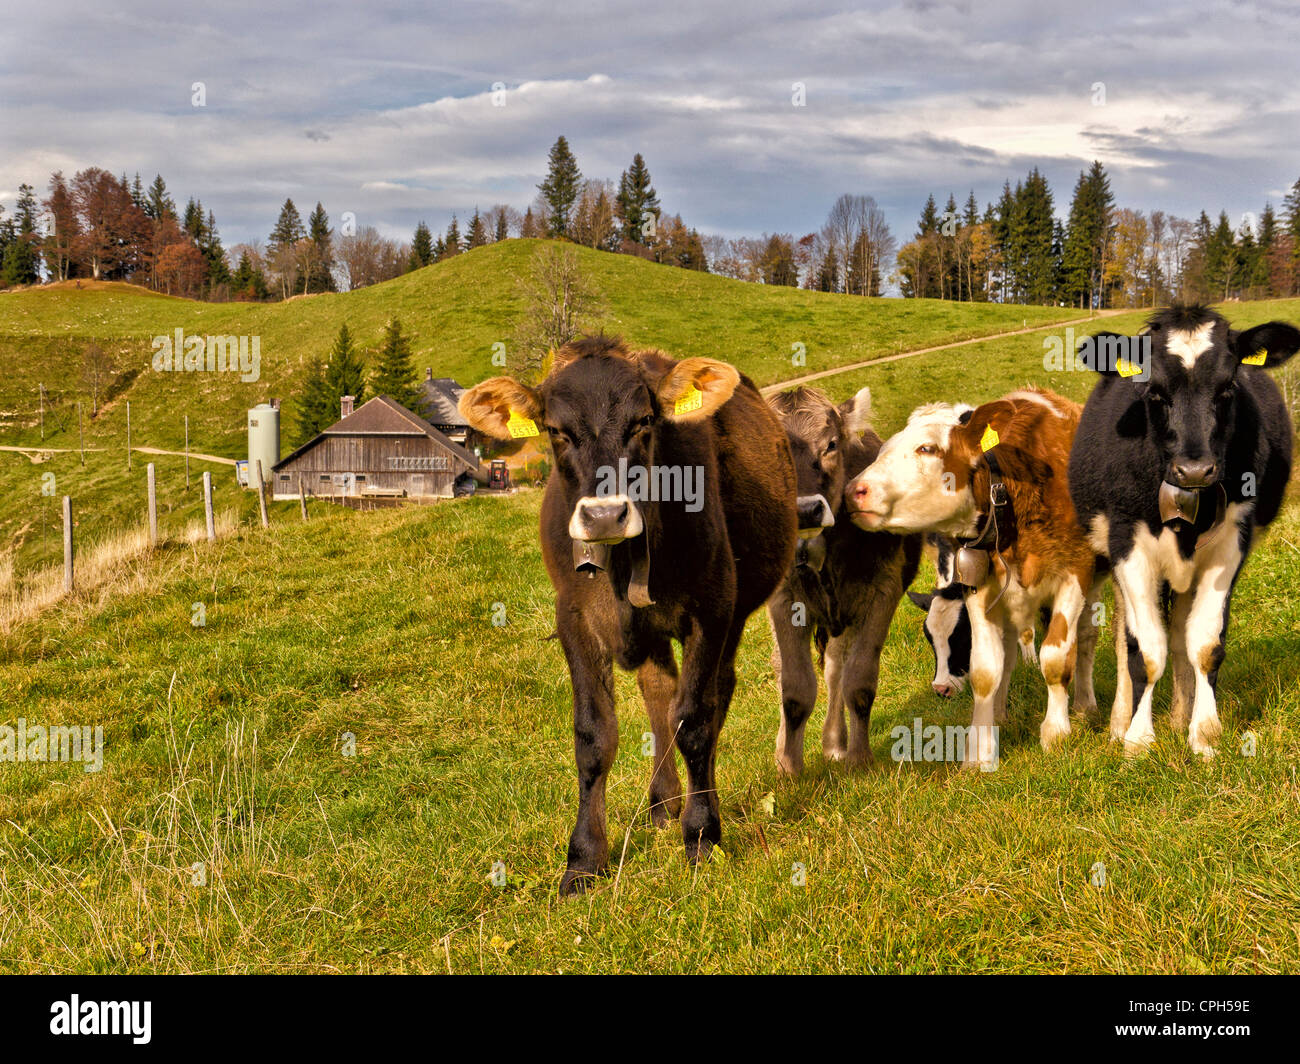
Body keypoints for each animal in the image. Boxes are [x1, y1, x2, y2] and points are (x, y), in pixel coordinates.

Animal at [462, 332, 795, 889]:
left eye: (643, 422)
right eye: (556, 429)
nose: (603, 515)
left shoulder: (713, 608)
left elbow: (696, 721)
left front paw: (701, 835)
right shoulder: (573, 618)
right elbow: (595, 735)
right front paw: (584, 858)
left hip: (734, 613)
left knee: (712, 696)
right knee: (659, 692)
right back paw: (662, 803)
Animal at [764, 385, 920, 764]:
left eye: (831, 444)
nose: (805, 510)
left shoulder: (883, 591)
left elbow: (858, 682)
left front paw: (859, 759)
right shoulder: (783, 600)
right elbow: (794, 688)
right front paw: (788, 766)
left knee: (836, 669)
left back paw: (835, 744)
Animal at [842, 385, 1097, 764]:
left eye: (927, 448)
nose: (852, 491)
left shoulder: (1074, 574)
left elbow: (1055, 658)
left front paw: (1055, 733)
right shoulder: (980, 589)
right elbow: (986, 670)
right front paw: (980, 752)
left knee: (1087, 639)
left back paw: (1084, 705)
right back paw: (1003, 713)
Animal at [1071, 304, 1294, 754]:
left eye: (1228, 387)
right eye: (1153, 392)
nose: (1194, 469)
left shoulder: (1231, 544)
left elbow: (1204, 645)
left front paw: (1204, 734)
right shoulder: (1127, 543)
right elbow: (1144, 651)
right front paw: (1137, 740)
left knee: (1179, 633)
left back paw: (1177, 717)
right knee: (1125, 637)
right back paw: (1119, 722)